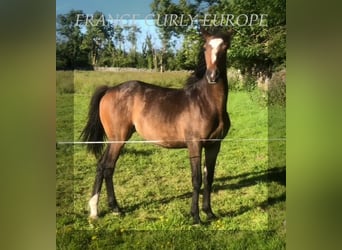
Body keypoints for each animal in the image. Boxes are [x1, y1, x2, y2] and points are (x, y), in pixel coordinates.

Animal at [80, 29, 232, 225]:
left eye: (225, 47)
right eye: (205, 47)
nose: (213, 76)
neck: (206, 102)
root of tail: (110, 89)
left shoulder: (214, 145)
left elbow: (209, 178)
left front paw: (209, 212)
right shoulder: (195, 144)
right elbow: (197, 179)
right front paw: (196, 217)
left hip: (114, 139)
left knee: (101, 166)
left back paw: (99, 210)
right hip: (118, 139)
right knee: (108, 167)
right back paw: (111, 209)